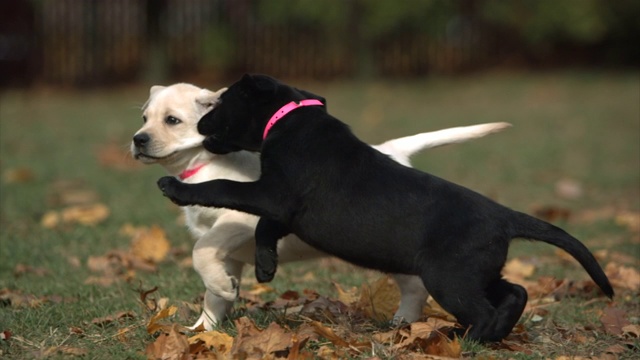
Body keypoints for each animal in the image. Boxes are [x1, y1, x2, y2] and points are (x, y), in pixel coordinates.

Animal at [158, 74, 612, 344]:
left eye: (220, 104)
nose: (199, 126)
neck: (289, 121)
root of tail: (504, 216)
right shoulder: (280, 207)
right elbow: (264, 229)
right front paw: (265, 266)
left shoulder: (273, 193)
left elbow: (222, 187)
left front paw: (175, 187)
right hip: (475, 270)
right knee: (516, 291)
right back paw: (494, 333)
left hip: (450, 277)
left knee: (485, 308)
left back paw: (469, 341)